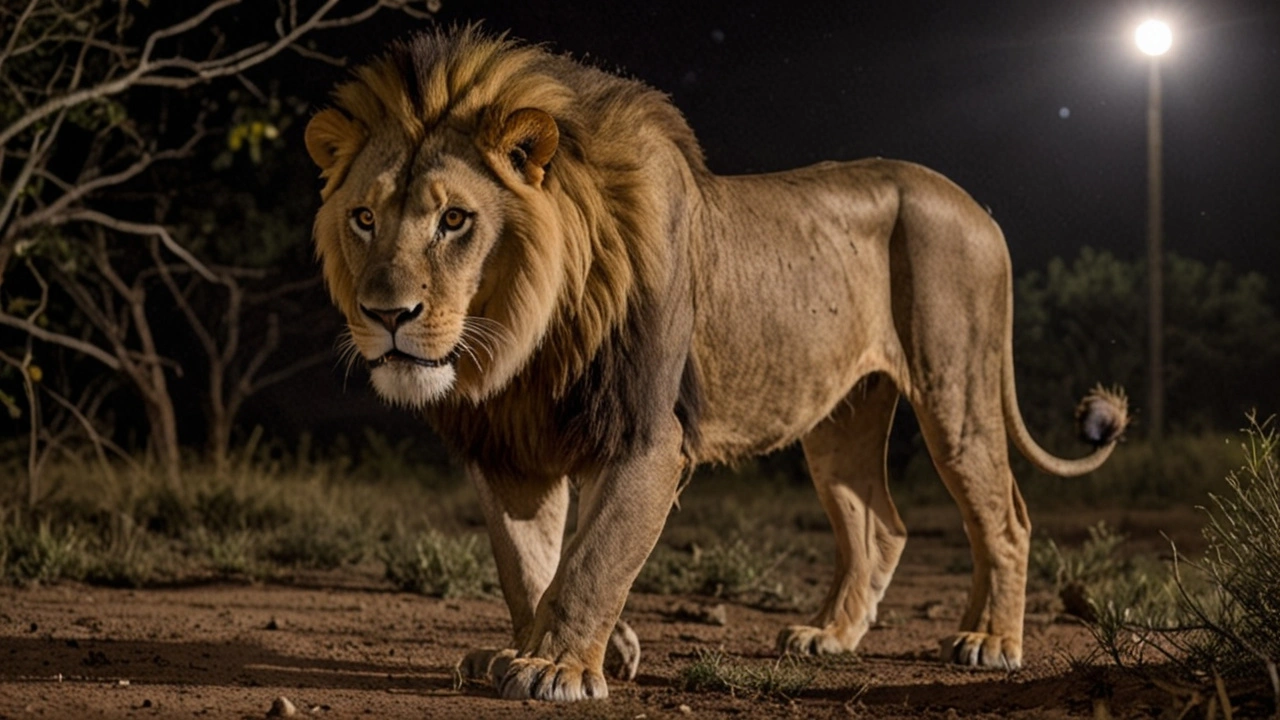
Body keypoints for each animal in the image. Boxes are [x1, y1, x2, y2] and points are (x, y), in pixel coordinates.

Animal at [304, 29, 1126, 702]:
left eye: (455, 220)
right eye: (364, 218)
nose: (387, 316)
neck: (523, 338)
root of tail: (979, 207)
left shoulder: (649, 430)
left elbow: (595, 557)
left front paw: (556, 667)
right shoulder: (510, 446)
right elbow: (528, 566)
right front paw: (555, 649)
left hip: (954, 385)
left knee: (1005, 515)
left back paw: (989, 640)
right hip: (841, 417)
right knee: (880, 524)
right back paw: (829, 636)